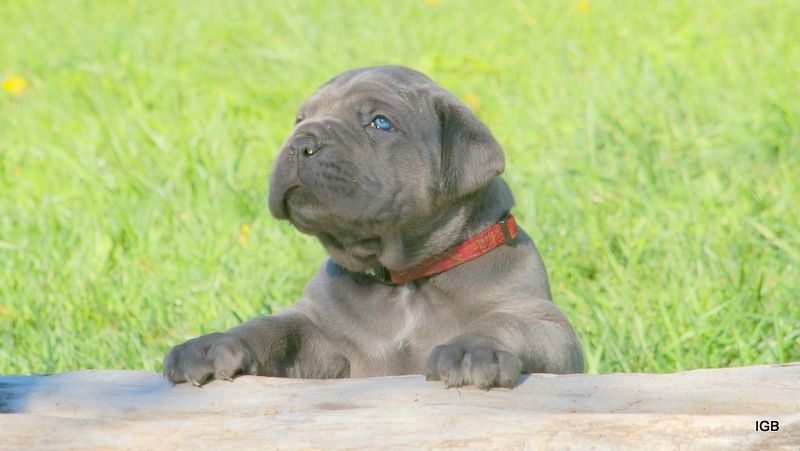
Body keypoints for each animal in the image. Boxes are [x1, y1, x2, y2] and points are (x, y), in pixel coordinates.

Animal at [163, 66, 584, 389]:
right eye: (299, 119)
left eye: (380, 123)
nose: (300, 143)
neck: (404, 284)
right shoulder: (320, 333)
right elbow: (272, 328)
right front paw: (211, 345)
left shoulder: (547, 324)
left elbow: (506, 321)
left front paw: (471, 350)